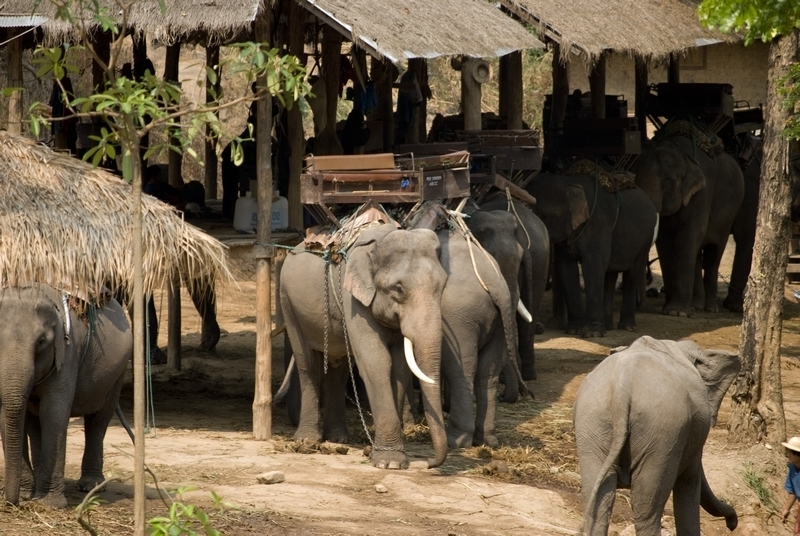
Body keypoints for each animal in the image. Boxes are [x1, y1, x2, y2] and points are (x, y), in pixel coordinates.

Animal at [0, 284, 133, 508]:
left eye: (42, 341)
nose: (12, 503)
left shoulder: (68, 353)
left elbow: (54, 413)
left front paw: (51, 504)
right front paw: (28, 494)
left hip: (117, 374)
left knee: (98, 421)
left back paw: (90, 486)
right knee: (34, 423)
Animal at [279, 223, 448, 469]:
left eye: (443, 286)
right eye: (398, 288)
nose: (429, 463)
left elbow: (399, 367)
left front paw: (384, 455)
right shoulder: (353, 299)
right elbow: (376, 360)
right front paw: (390, 462)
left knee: (339, 370)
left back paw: (338, 438)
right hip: (288, 304)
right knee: (308, 364)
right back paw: (307, 441)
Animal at [526, 170, 658, 337]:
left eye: (544, 216)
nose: (539, 328)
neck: (568, 183)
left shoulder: (598, 224)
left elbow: (593, 267)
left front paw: (592, 333)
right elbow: (567, 268)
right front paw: (574, 330)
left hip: (645, 239)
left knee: (632, 274)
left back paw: (627, 327)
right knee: (610, 275)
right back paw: (608, 325)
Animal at [574, 335, 739, 535]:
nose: (732, 524)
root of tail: (622, 388)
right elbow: (689, 482)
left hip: (593, 422)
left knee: (598, 500)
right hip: (663, 432)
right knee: (647, 509)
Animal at [634, 124, 745, 316]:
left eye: (667, 180)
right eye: (635, 176)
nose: (640, 305)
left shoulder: (702, 194)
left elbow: (687, 237)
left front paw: (676, 312)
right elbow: (664, 242)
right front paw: (669, 309)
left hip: (730, 213)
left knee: (714, 253)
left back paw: (710, 308)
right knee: (698, 254)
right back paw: (696, 306)